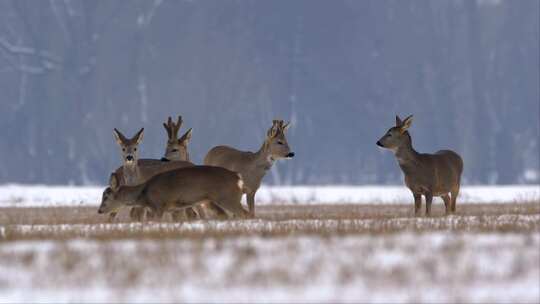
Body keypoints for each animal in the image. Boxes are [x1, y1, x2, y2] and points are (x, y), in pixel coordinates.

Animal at [98, 166, 248, 218]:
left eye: (106, 196)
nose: (99, 210)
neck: (144, 194)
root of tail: (238, 177)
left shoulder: (159, 205)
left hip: (227, 197)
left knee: (244, 213)